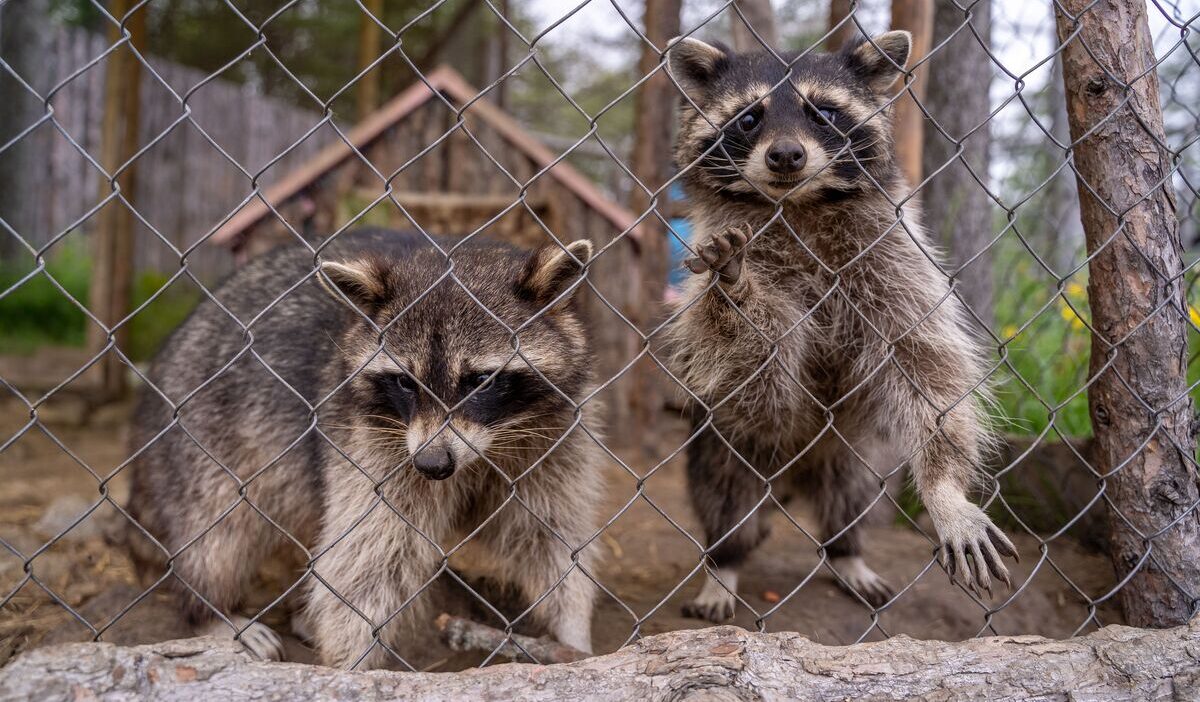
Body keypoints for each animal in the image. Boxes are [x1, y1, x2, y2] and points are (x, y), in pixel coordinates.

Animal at [125, 229, 603, 667]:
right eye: (405, 382)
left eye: (480, 380)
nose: (431, 465)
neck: (484, 448)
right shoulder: (370, 442)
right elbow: (365, 563)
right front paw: (351, 666)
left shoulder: (556, 437)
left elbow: (551, 536)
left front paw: (573, 632)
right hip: (202, 432)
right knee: (218, 531)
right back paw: (210, 609)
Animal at [664, 32, 1018, 621]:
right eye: (749, 118)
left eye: (824, 112)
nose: (786, 154)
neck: (797, 206)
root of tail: (794, 478)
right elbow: (756, 374)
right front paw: (736, 289)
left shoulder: (896, 261)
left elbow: (929, 366)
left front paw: (945, 490)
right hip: (724, 446)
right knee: (727, 499)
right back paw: (723, 564)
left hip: (858, 454)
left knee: (854, 499)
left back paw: (846, 551)